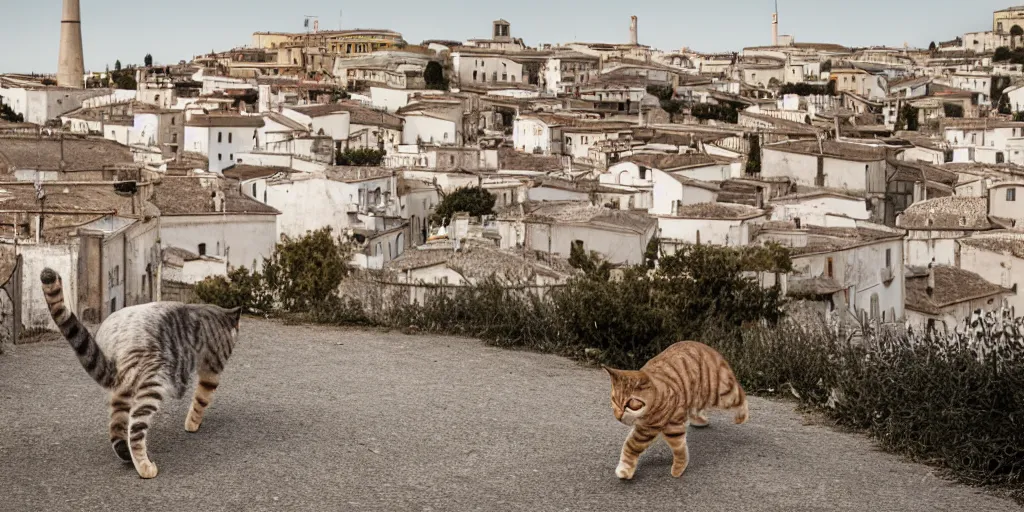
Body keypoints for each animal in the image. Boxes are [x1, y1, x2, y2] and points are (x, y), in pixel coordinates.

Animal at [38, 268, 242, 479]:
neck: (217, 315)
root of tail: (115, 337)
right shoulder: (212, 369)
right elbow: (201, 400)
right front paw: (192, 424)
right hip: (152, 386)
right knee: (135, 432)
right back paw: (145, 468)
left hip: (123, 392)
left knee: (117, 429)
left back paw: (125, 454)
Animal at [602, 339, 749, 479]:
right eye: (614, 400)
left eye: (631, 404)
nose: (618, 416)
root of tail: (706, 347)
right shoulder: (646, 429)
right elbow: (630, 446)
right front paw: (625, 469)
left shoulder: (667, 427)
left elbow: (678, 448)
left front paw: (679, 468)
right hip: (696, 396)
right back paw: (699, 420)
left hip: (721, 393)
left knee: (740, 396)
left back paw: (741, 417)